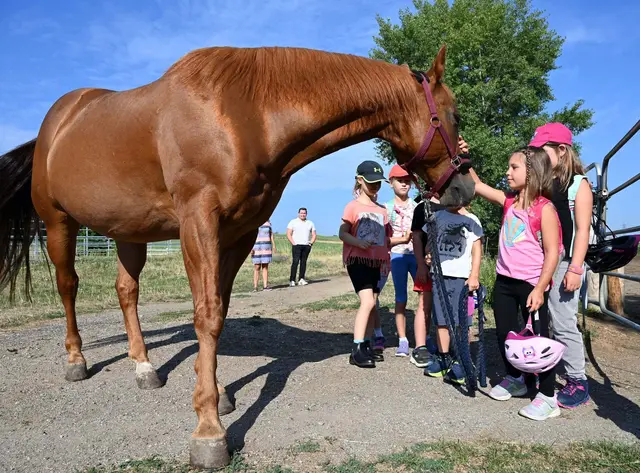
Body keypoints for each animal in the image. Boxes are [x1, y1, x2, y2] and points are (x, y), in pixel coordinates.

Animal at [0, 44, 474, 469]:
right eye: (453, 116)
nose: (465, 187)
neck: (244, 114)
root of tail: (55, 125)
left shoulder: (240, 232)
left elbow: (220, 311)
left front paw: (217, 391)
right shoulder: (199, 222)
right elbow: (207, 313)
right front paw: (208, 432)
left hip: (128, 231)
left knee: (126, 291)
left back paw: (144, 367)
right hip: (58, 222)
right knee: (68, 286)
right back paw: (76, 361)